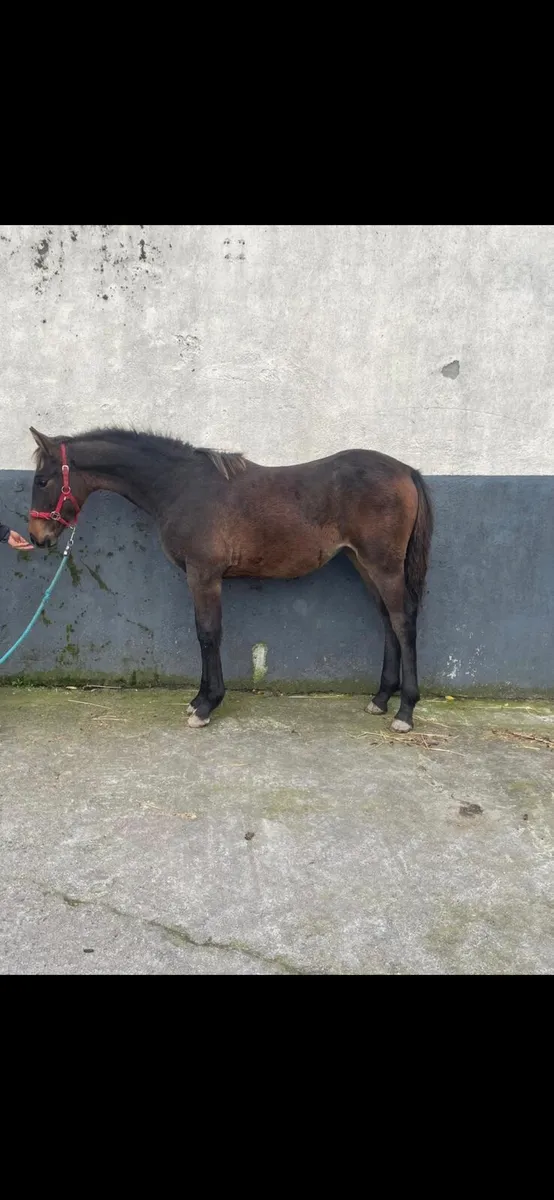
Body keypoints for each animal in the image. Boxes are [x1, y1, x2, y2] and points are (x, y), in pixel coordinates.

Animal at [27, 427, 433, 732]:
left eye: (43, 480)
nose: (36, 537)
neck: (181, 485)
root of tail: (406, 470)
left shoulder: (204, 575)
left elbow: (208, 634)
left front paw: (206, 706)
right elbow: (205, 634)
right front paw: (198, 700)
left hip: (383, 565)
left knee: (403, 622)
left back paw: (405, 711)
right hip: (363, 564)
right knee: (387, 621)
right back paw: (380, 699)